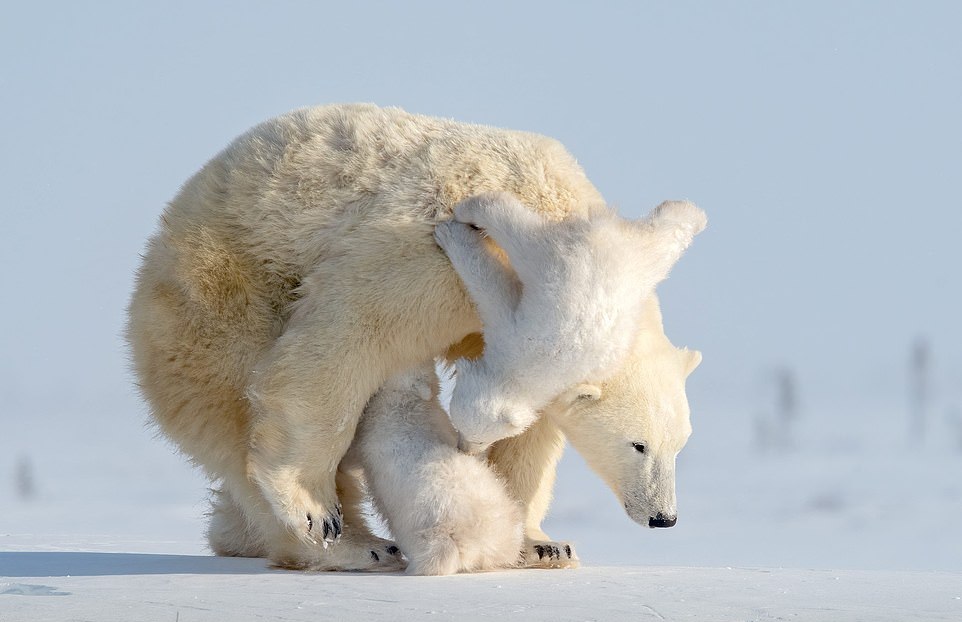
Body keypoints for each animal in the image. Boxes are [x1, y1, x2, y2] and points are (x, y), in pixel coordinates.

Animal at [436, 193, 704, 456]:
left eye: (482, 439)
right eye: (459, 427)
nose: (465, 449)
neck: (527, 372)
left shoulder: (513, 332)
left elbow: (492, 287)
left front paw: (454, 236)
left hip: (557, 257)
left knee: (516, 229)